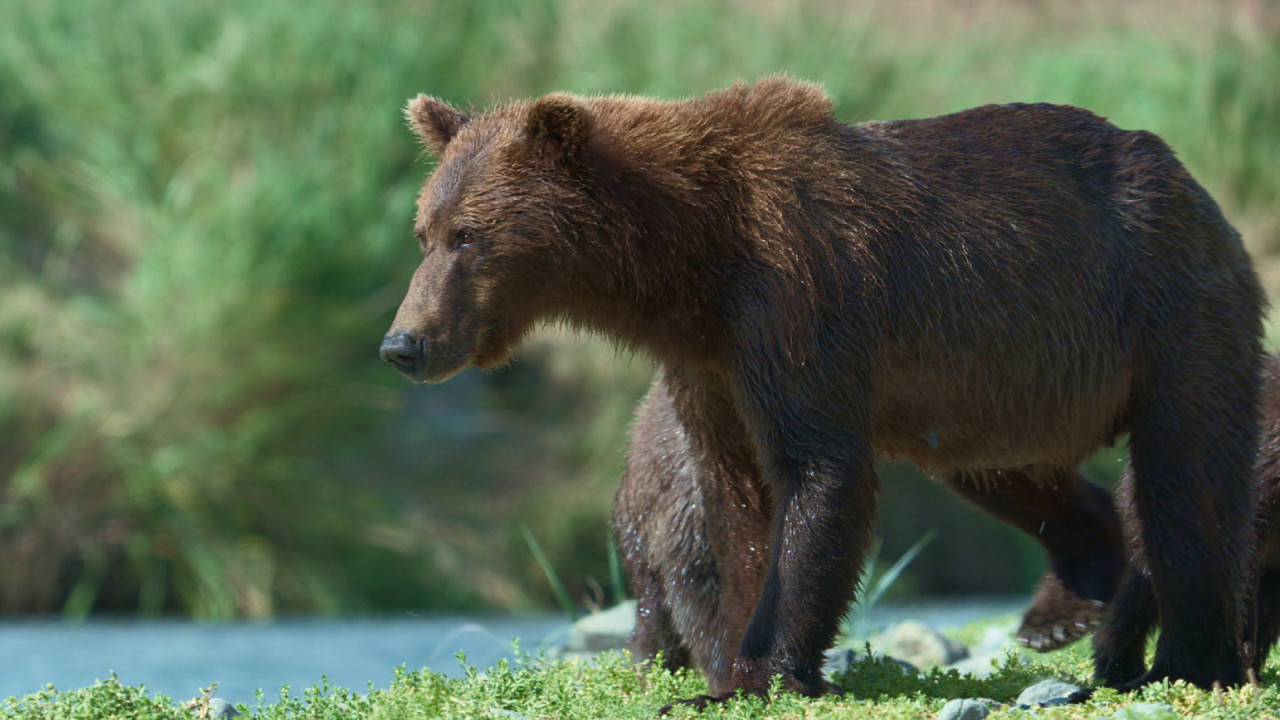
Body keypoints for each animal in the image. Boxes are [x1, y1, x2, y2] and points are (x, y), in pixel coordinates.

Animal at [376, 75, 1259, 702]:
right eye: (424, 232)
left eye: (469, 235)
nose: (403, 343)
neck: (689, 262)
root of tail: (1188, 180)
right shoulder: (709, 364)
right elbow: (732, 501)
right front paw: (728, 666)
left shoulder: (793, 300)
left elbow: (817, 472)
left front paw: (764, 669)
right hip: (994, 387)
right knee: (1016, 475)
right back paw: (1067, 604)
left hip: (1164, 309)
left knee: (1186, 475)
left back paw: (1187, 658)